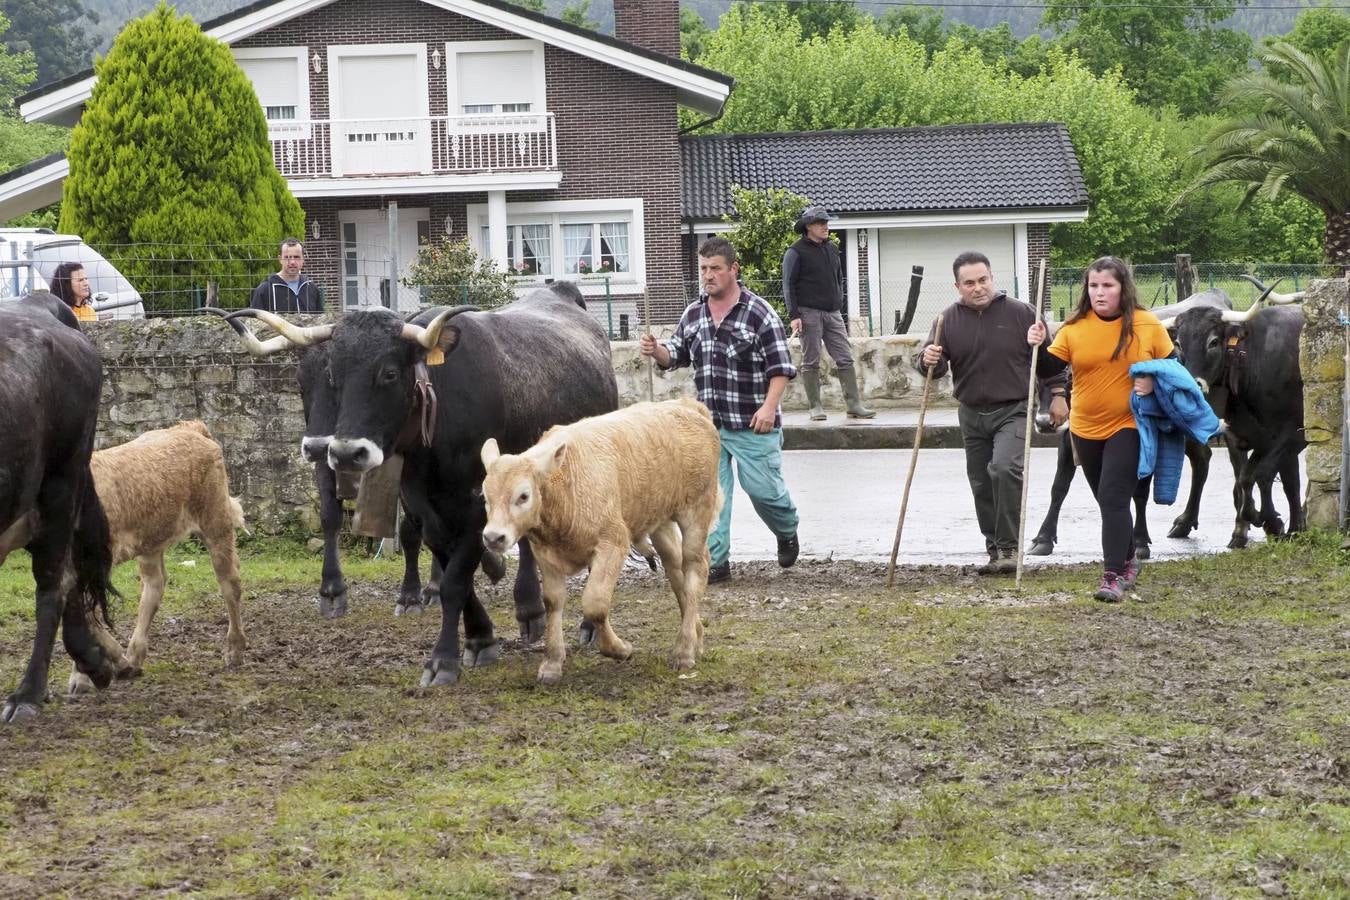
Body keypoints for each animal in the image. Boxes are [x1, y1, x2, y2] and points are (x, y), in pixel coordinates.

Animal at [70, 423, 248, 696]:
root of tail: (189, 427)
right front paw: (87, 674)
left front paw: (97, 670)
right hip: (151, 538)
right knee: (155, 584)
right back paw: (134, 656)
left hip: (216, 521)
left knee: (230, 583)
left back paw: (235, 650)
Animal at [216, 284, 618, 685]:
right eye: (333, 376)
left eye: (390, 374)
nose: (345, 454)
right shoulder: (423, 510)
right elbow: (452, 571)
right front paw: (479, 637)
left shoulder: (476, 506)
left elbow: (457, 580)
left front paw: (444, 660)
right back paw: (529, 608)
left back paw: (577, 621)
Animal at [480, 396, 723, 685]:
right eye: (485, 497)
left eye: (523, 495)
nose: (493, 537)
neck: (566, 487)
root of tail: (687, 405)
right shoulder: (545, 553)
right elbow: (553, 601)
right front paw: (552, 663)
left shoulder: (613, 542)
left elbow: (595, 603)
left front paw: (619, 649)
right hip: (660, 520)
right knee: (676, 570)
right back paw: (695, 638)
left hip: (697, 509)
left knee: (695, 568)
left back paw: (684, 651)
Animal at [1166, 284, 1301, 545]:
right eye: (1178, 342)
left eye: (1213, 342)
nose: (1192, 387)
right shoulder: (1239, 436)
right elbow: (1245, 479)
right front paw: (1258, 521)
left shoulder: (1292, 435)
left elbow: (1263, 475)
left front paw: (1271, 522)